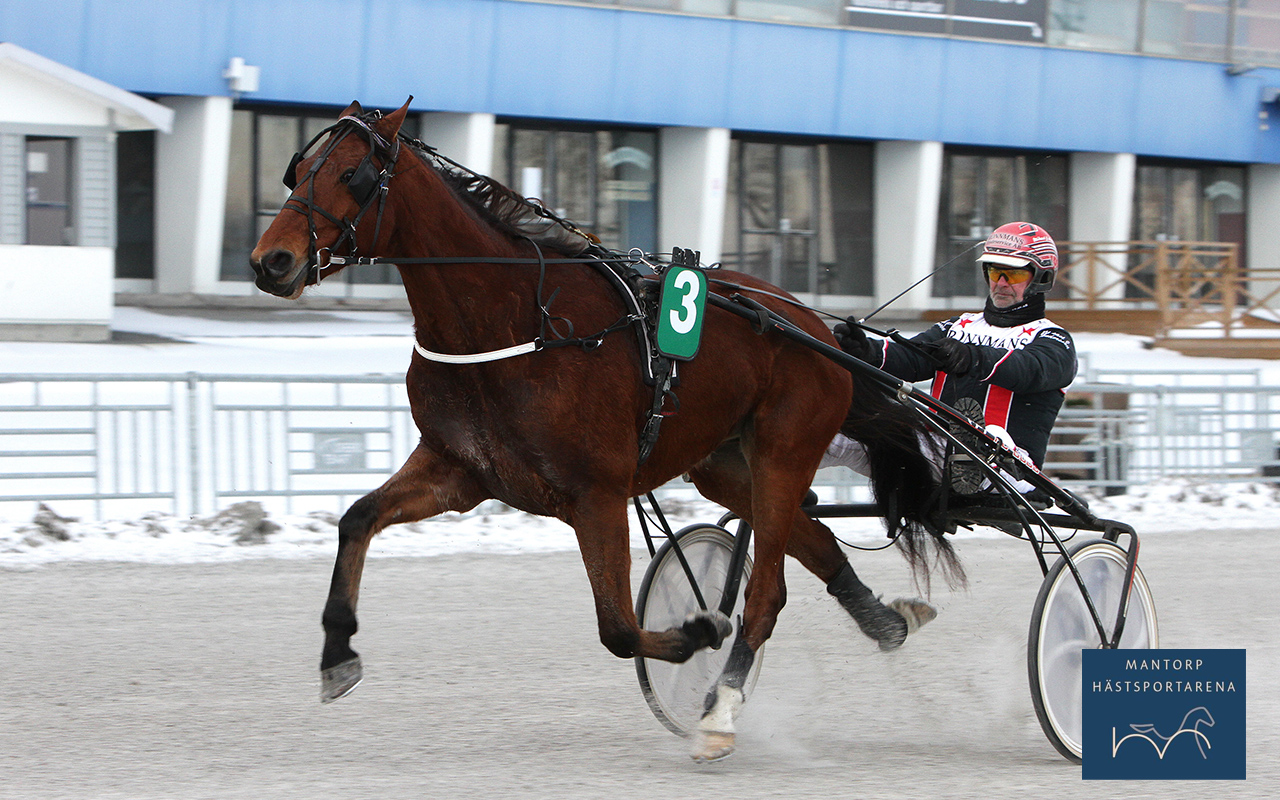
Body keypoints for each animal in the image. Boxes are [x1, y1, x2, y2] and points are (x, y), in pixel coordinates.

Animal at [247, 101, 952, 762]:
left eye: (351, 174)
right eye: (297, 171)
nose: (270, 260)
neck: (514, 321)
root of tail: (814, 326)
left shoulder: (598, 494)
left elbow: (617, 627)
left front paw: (698, 632)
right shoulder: (459, 470)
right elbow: (357, 519)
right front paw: (337, 652)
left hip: (784, 449)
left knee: (765, 593)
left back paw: (721, 710)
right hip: (726, 464)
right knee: (814, 545)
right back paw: (889, 622)